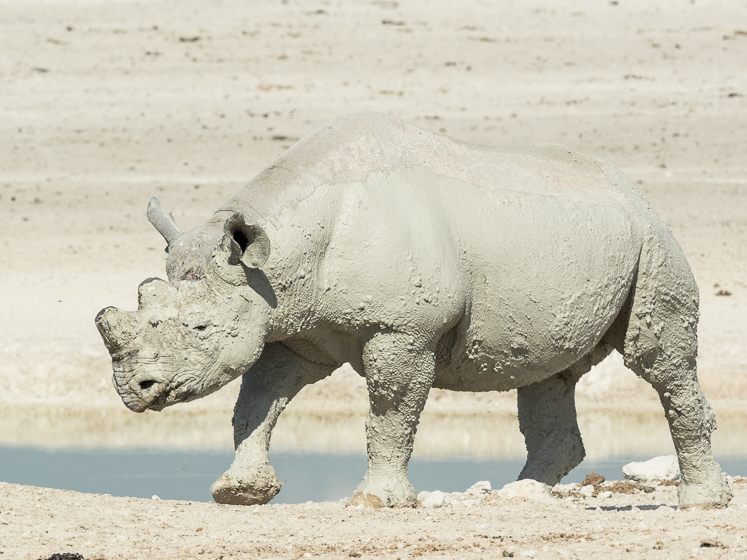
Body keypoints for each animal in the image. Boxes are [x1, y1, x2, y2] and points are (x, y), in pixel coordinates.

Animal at [95, 113, 731, 508]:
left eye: (201, 327)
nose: (133, 391)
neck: (275, 257)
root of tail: (634, 191)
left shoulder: (402, 328)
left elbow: (389, 412)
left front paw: (375, 501)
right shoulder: (292, 326)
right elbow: (257, 402)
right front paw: (238, 493)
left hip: (655, 241)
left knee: (659, 360)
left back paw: (700, 503)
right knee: (547, 375)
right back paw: (520, 495)